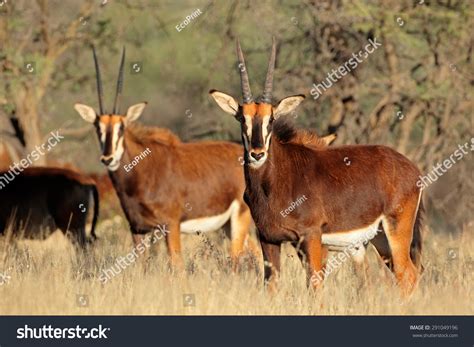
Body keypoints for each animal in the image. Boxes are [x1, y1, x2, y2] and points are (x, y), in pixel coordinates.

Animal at [74, 47, 258, 270]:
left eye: (122, 127)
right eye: (97, 128)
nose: (108, 159)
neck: (141, 172)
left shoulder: (171, 225)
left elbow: (177, 266)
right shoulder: (137, 229)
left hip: (239, 218)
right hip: (227, 224)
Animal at [209, 38, 424, 296]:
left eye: (271, 119)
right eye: (242, 118)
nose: (257, 154)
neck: (275, 182)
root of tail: (412, 168)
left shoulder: (311, 236)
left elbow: (314, 284)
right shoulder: (269, 239)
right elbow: (271, 285)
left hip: (396, 230)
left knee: (407, 275)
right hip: (380, 239)